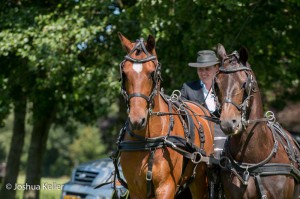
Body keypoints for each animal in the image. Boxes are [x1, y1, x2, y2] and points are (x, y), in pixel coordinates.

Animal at [115, 33, 216, 198]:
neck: (147, 140)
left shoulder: (166, 186)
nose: (137, 120)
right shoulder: (136, 189)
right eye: (124, 74)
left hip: (200, 180)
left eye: (152, 73)